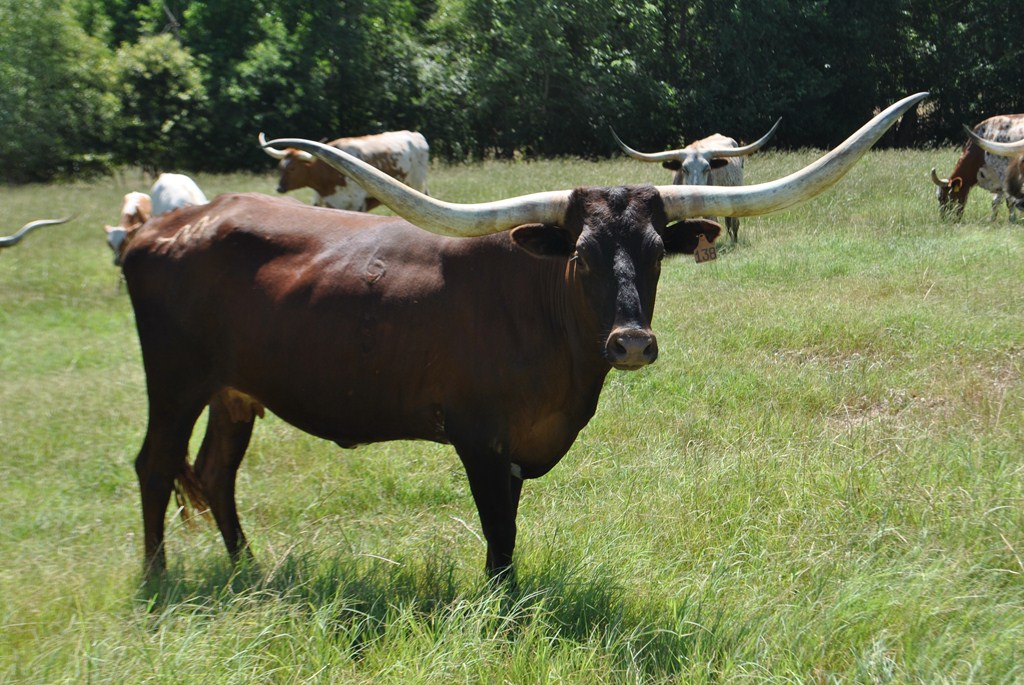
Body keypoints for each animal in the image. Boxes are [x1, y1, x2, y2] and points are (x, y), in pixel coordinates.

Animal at [259, 130, 429, 212]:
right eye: (280, 167)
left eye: (293, 168)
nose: (279, 188)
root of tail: (415, 134)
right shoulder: (326, 201)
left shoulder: (357, 202)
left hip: (418, 184)